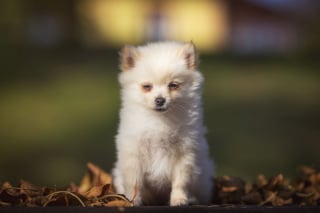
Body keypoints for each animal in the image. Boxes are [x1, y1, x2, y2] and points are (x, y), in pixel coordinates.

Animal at [112, 40, 215, 206]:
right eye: (147, 87)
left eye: (173, 85)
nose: (160, 100)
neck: (159, 120)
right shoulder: (133, 153)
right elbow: (134, 182)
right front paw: (133, 201)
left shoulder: (185, 152)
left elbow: (181, 181)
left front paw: (179, 199)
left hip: (203, 180)